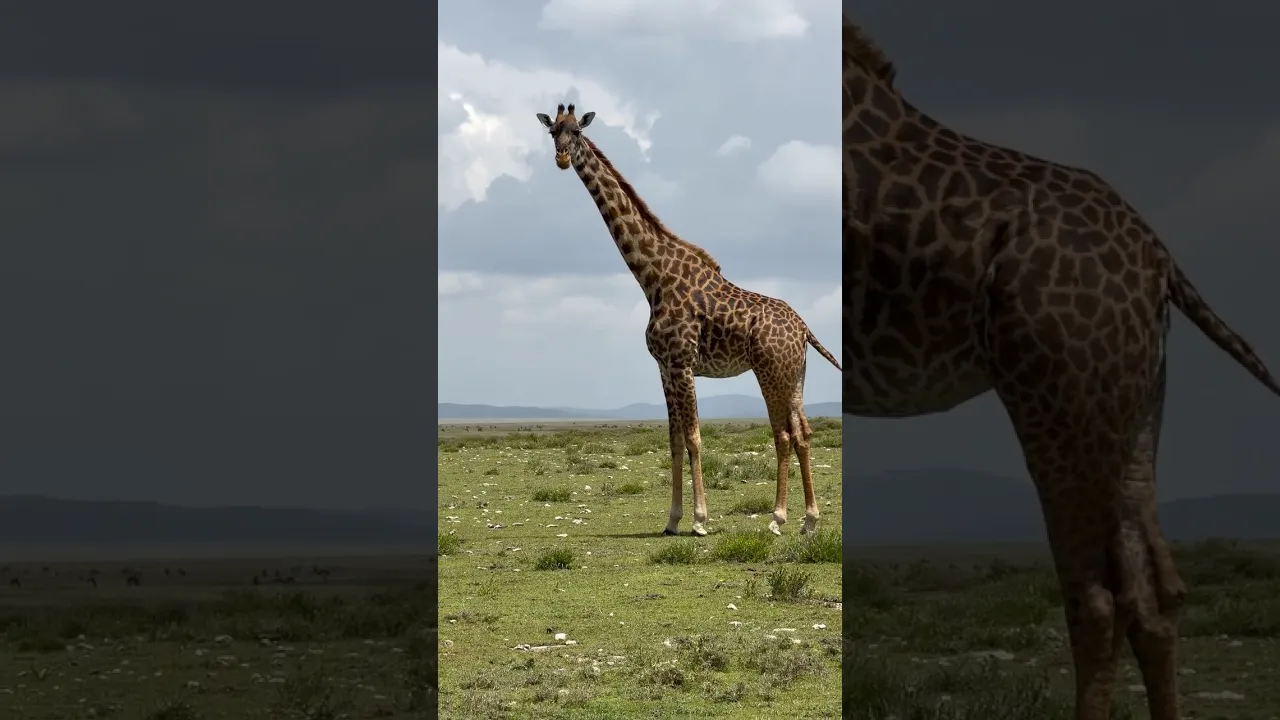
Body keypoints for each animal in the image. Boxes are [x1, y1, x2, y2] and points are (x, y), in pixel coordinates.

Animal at [536, 103, 842, 537]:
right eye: (553, 132)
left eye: (577, 131)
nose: (562, 157)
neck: (653, 277)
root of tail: (804, 329)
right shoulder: (664, 367)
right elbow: (674, 440)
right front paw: (672, 519)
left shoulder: (682, 363)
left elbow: (695, 438)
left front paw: (699, 519)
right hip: (795, 375)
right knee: (803, 433)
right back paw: (809, 519)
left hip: (770, 372)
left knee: (782, 434)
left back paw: (778, 517)